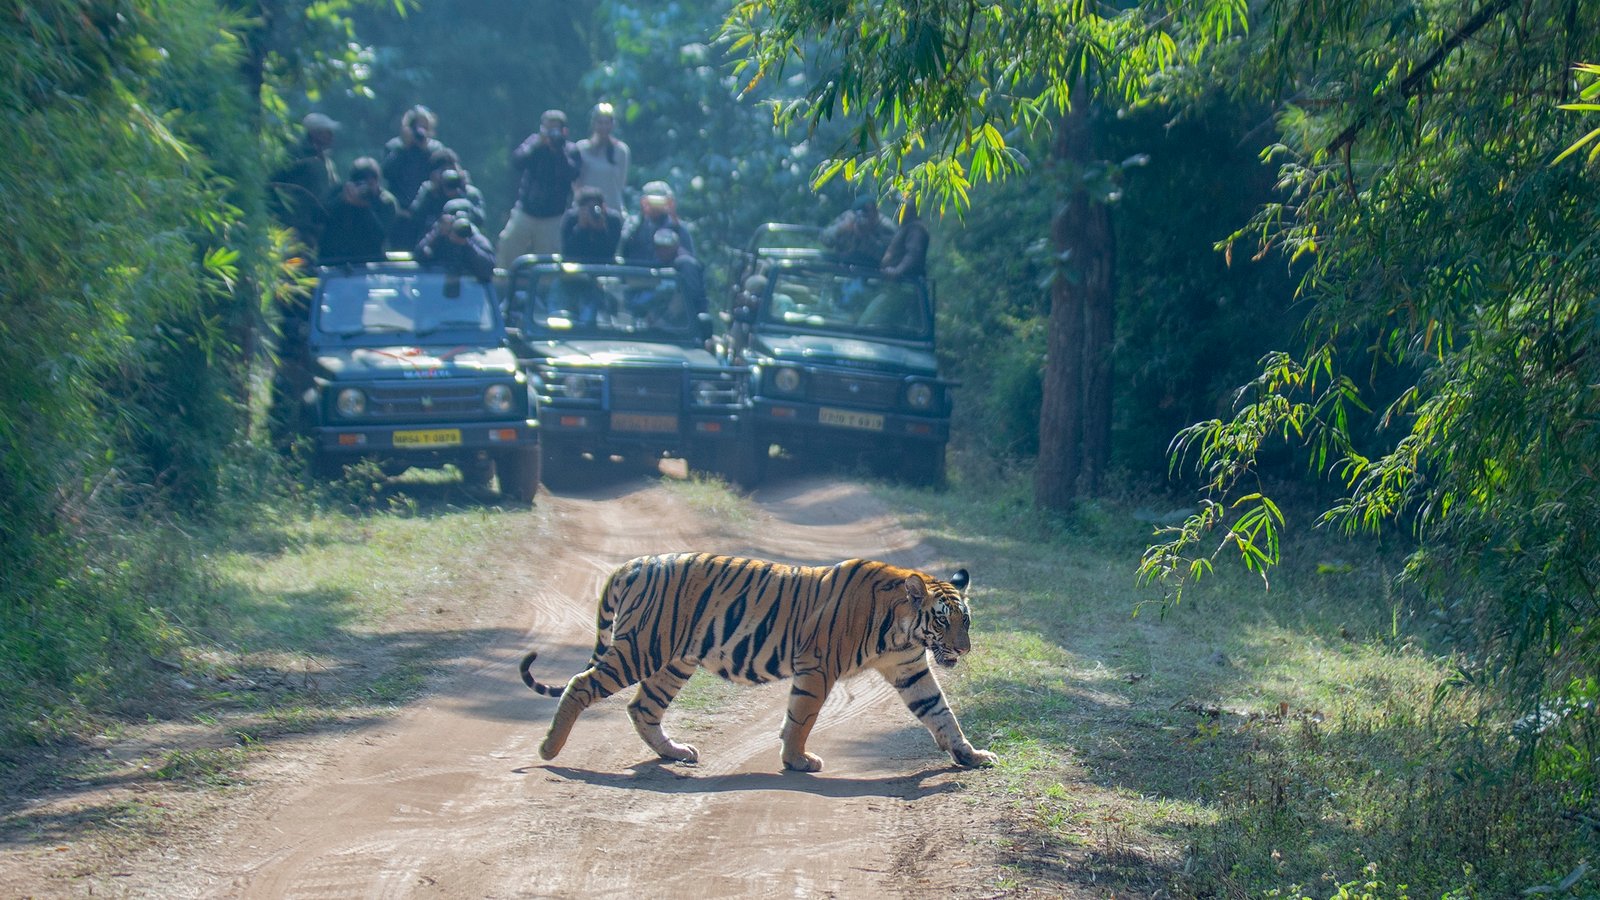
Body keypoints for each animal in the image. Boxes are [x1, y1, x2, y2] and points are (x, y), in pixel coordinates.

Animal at [519, 552, 997, 772]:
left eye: (966, 621)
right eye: (943, 620)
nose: (964, 649)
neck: (901, 631)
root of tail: (635, 563)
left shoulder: (910, 669)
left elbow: (941, 713)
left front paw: (971, 755)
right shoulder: (817, 667)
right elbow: (801, 717)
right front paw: (798, 761)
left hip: (673, 661)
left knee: (642, 707)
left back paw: (676, 752)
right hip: (642, 648)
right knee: (581, 683)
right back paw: (549, 749)